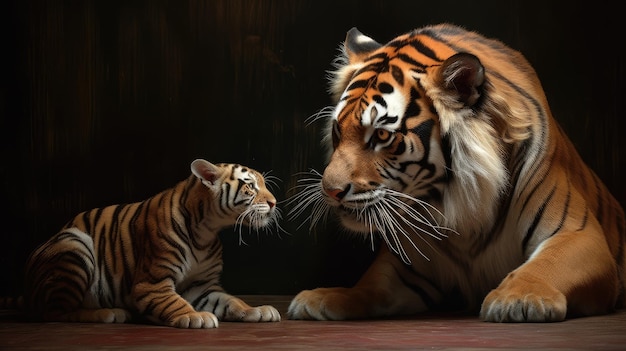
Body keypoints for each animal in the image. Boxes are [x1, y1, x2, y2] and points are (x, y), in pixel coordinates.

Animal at [5, 160, 280, 330]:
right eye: (250, 186)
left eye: (263, 185)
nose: (274, 203)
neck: (207, 229)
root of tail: (28, 289)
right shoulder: (153, 282)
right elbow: (176, 302)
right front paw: (195, 316)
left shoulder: (202, 286)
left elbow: (232, 301)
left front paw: (258, 310)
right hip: (74, 244)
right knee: (55, 313)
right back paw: (109, 313)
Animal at [286, 23, 620, 324]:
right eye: (338, 129)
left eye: (381, 135)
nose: (330, 191)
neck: (463, 218)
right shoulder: (408, 267)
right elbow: (369, 286)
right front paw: (326, 296)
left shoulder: (578, 233)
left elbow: (546, 264)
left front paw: (518, 298)